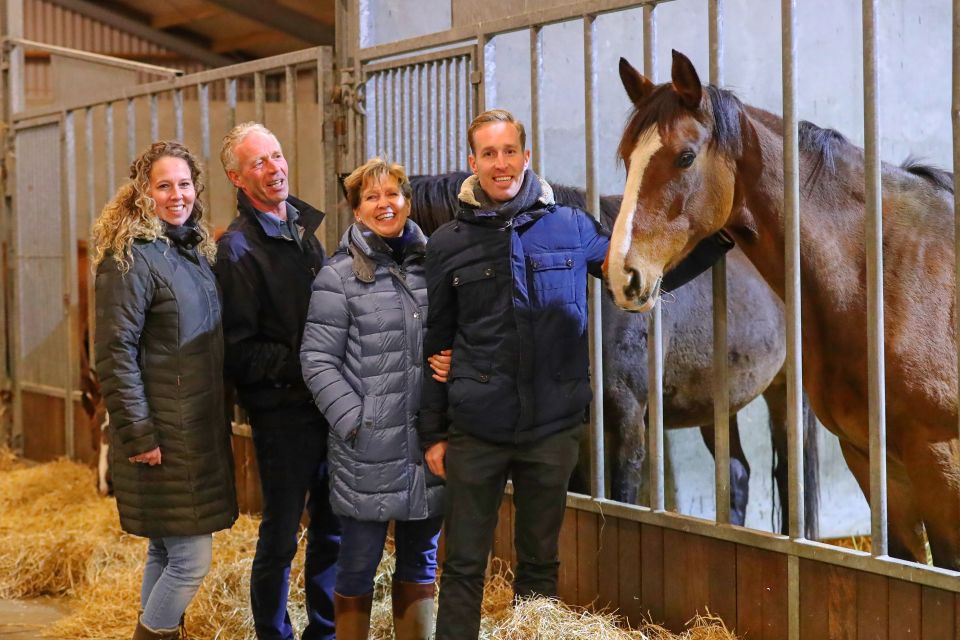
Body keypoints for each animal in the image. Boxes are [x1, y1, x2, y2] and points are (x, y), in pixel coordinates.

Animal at [608, 51, 960, 568]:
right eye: (628, 158)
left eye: (685, 156)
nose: (622, 274)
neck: (891, 275)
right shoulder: (874, 463)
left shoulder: (939, 461)